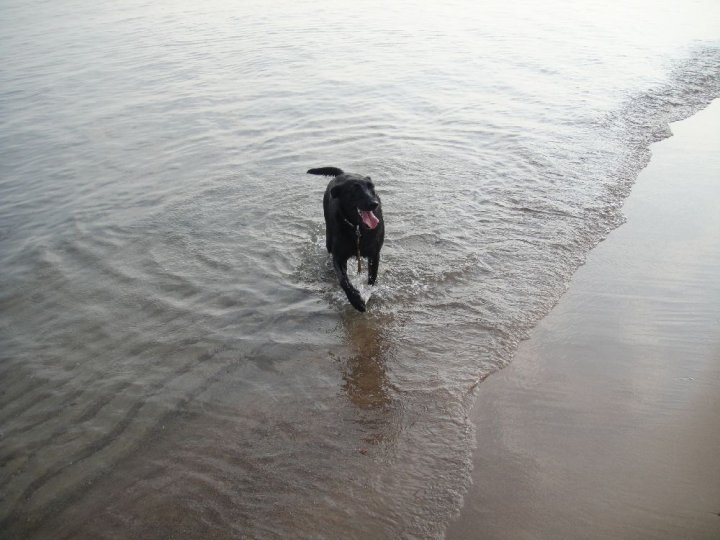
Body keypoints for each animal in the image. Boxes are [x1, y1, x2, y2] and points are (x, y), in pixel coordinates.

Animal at [306, 168, 382, 312]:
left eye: (372, 187)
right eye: (355, 189)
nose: (374, 203)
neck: (357, 228)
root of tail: (343, 173)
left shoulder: (374, 254)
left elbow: (372, 279)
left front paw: (367, 294)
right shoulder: (339, 257)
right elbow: (343, 280)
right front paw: (356, 301)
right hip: (328, 239)